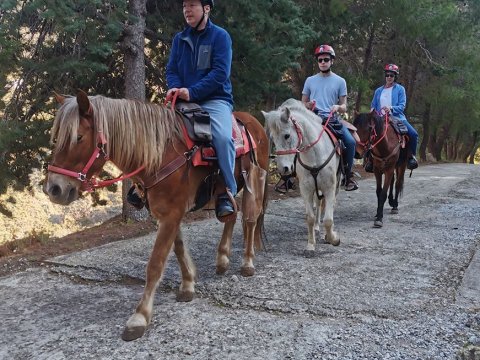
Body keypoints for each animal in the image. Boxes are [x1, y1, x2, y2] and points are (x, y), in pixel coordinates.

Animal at [44, 90, 270, 340]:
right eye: (56, 138)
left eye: (79, 137)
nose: (54, 189)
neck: (161, 153)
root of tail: (253, 121)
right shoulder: (167, 214)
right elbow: (178, 249)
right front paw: (188, 285)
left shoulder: (172, 214)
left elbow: (155, 264)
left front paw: (139, 317)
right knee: (231, 214)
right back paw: (222, 259)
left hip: (254, 181)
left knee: (250, 220)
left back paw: (247, 262)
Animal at [262, 98, 342, 256]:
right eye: (273, 138)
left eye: (287, 135)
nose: (283, 168)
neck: (315, 154)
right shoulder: (306, 189)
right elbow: (309, 217)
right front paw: (310, 245)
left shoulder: (330, 188)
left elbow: (328, 219)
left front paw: (333, 239)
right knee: (318, 203)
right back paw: (317, 228)